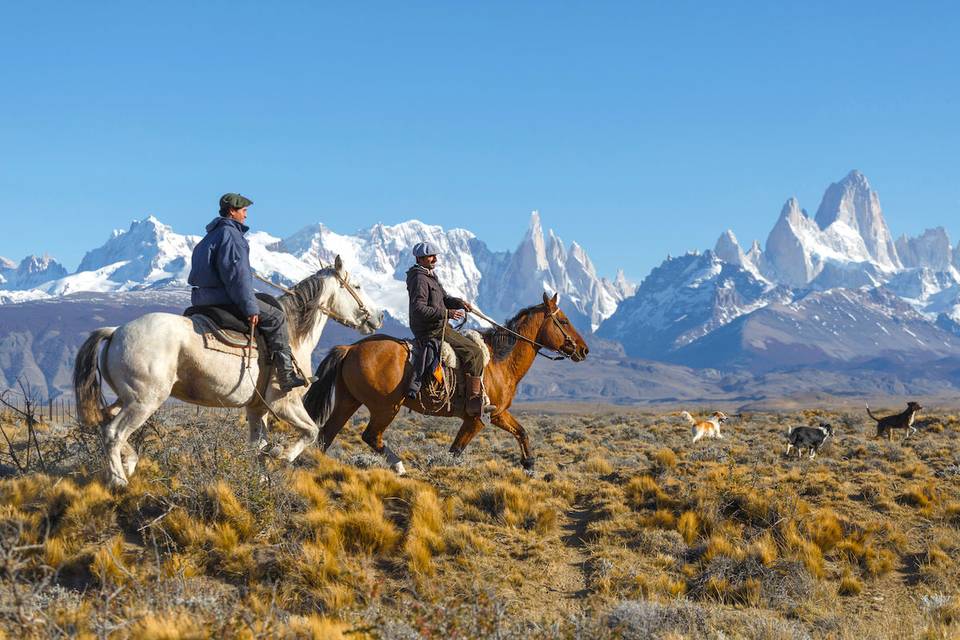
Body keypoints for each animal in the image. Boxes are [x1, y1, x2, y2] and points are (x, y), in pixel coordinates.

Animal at [74, 252, 382, 488]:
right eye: (356, 285)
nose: (378, 317)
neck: (294, 334)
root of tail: (115, 331)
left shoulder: (257, 409)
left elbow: (257, 447)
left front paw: (260, 479)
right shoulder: (284, 403)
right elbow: (311, 432)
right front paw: (281, 455)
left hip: (127, 398)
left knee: (105, 423)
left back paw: (129, 463)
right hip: (144, 401)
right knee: (113, 432)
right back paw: (118, 481)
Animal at [308, 292, 588, 472]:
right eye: (564, 321)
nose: (584, 350)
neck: (500, 361)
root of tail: (350, 348)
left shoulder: (497, 414)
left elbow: (522, 432)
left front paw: (529, 466)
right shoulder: (476, 420)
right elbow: (454, 451)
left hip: (348, 402)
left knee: (326, 436)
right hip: (385, 408)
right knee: (370, 436)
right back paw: (399, 466)